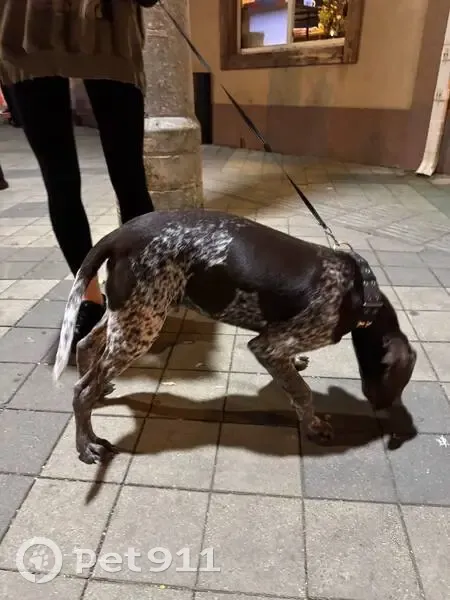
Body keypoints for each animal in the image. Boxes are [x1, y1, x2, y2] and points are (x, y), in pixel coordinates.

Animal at [54, 209, 417, 464]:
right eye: (400, 382)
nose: (390, 411)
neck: (359, 291)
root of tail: (120, 233)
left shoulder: (276, 347)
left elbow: (292, 378)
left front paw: (298, 367)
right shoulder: (267, 346)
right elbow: (302, 393)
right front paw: (313, 425)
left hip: (129, 315)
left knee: (85, 347)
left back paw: (99, 395)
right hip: (140, 328)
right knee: (81, 389)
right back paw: (86, 445)